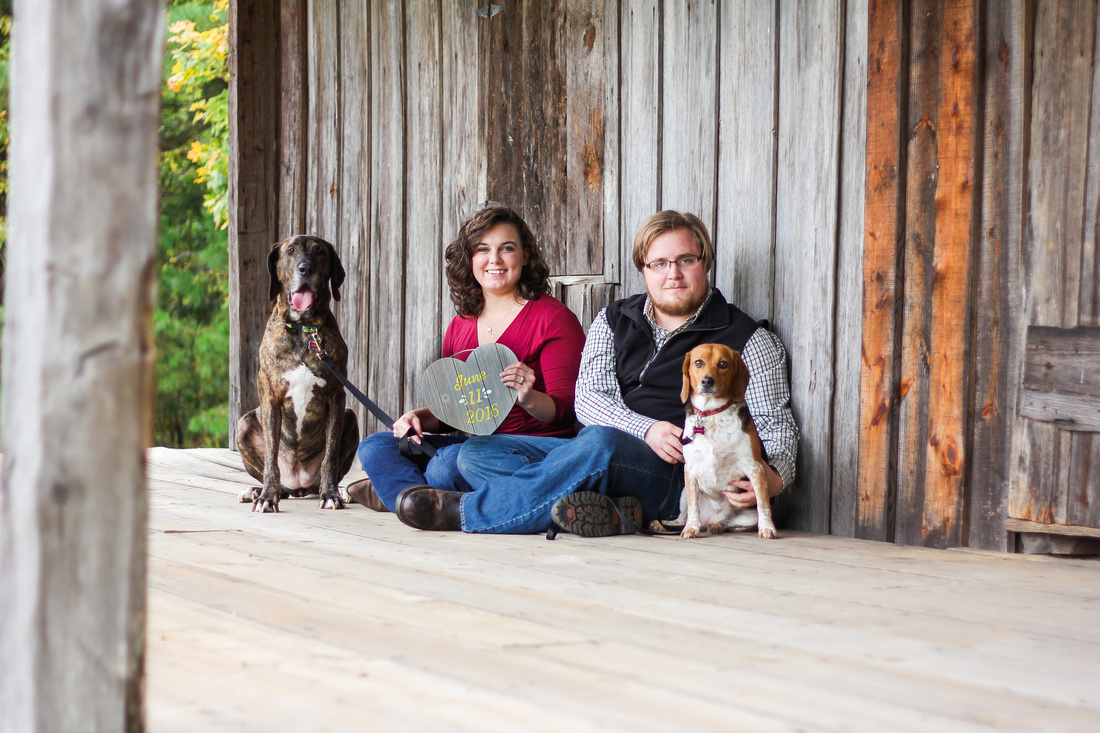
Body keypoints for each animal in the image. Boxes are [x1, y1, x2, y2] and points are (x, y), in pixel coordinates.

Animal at [238, 234, 358, 508]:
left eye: (320, 252)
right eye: (290, 251)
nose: (306, 269)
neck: (305, 330)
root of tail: (299, 485)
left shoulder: (336, 397)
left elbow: (330, 456)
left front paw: (331, 494)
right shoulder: (271, 398)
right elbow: (271, 457)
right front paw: (267, 497)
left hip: (351, 418)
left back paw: (340, 489)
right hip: (244, 423)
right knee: (272, 473)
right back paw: (258, 491)